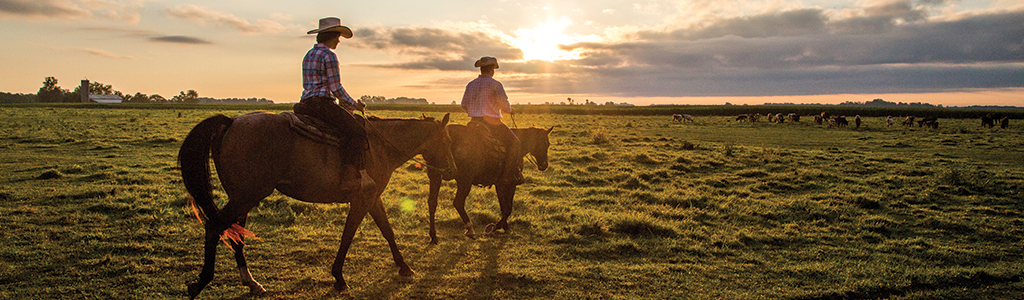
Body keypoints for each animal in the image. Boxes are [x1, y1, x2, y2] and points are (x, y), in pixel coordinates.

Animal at [178, 111, 454, 296]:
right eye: (447, 141)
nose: (451, 170)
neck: (380, 146)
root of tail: (232, 122)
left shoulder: (373, 198)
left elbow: (387, 231)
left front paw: (404, 266)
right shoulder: (362, 200)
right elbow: (348, 236)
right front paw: (339, 278)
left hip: (242, 197)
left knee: (236, 234)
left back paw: (252, 282)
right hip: (246, 196)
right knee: (214, 227)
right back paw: (200, 283)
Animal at [423, 123, 552, 242]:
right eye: (546, 143)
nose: (544, 165)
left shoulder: (499, 184)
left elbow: (503, 206)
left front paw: (505, 227)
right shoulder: (510, 184)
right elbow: (508, 208)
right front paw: (496, 227)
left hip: (435, 176)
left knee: (432, 202)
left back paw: (433, 235)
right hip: (465, 180)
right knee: (458, 203)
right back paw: (470, 230)